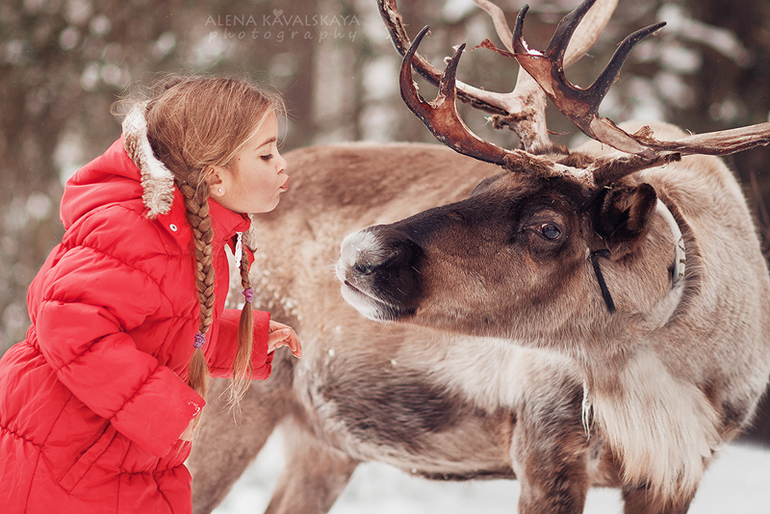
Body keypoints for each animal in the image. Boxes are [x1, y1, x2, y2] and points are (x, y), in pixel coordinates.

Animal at [189, 1, 770, 513]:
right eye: (483, 185)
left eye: (549, 227)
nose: (358, 253)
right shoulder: (543, 443)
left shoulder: (679, 471)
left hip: (323, 440)